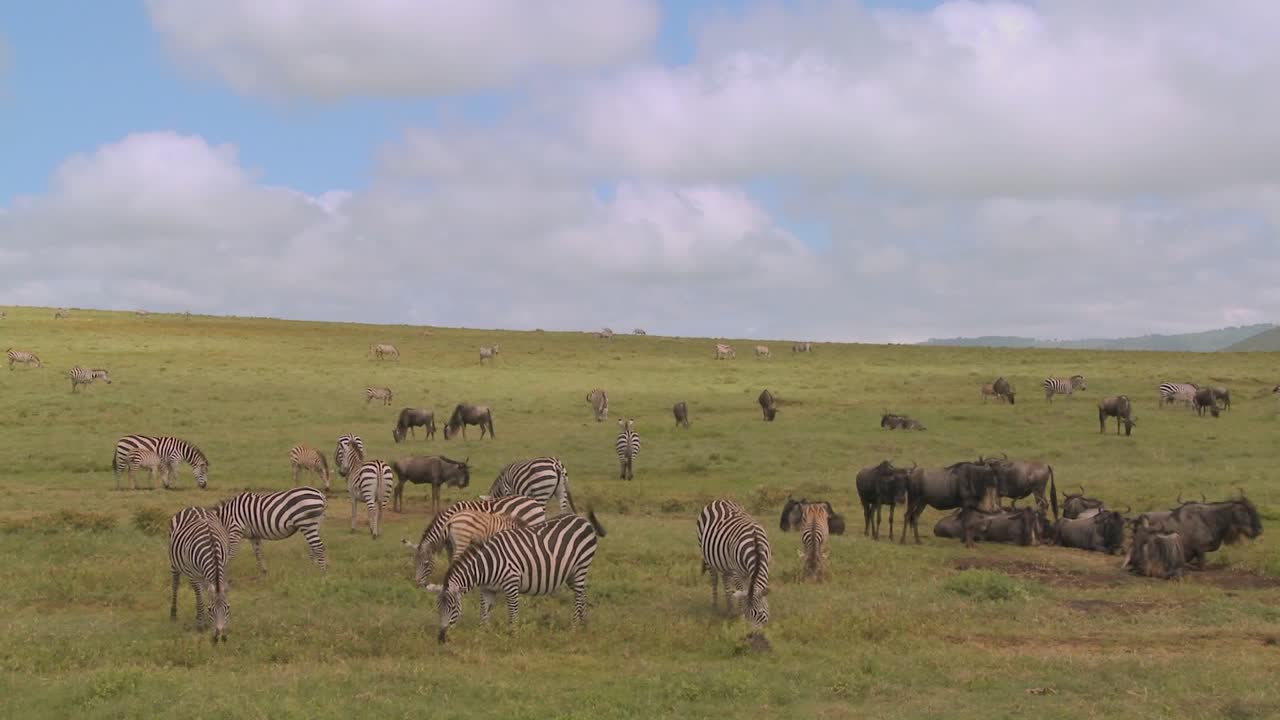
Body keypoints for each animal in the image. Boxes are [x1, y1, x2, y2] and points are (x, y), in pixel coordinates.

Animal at [168, 507, 230, 642]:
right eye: (210, 610)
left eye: (228, 608)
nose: (219, 636)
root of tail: (192, 507)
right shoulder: (194, 575)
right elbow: (200, 598)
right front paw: (201, 625)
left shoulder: (222, 567)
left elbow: (207, 595)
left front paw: (203, 620)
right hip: (175, 563)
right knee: (176, 585)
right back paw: (173, 614)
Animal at [402, 495, 547, 587]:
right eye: (415, 563)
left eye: (426, 564)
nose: (418, 584)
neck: (448, 521)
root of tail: (533, 501)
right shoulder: (449, 543)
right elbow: (450, 559)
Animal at [427, 509, 608, 644]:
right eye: (438, 608)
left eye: (452, 607)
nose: (441, 639)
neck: (487, 565)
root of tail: (583, 520)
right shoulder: (487, 589)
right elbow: (484, 612)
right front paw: (483, 633)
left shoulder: (511, 584)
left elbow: (513, 612)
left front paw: (513, 636)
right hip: (570, 574)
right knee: (583, 594)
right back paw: (584, 624)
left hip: (581, 566)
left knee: (579, 596)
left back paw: (574, 627)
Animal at [697, 500, 771, 630]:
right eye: (747, 615)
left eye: (761, 614)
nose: (755, 634)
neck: (756, 547)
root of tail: (719, 500)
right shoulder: (738, 572)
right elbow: (741, 593)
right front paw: (740, 619)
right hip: (707, 556)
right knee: (714, 580)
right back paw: (715, 607)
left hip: (725, 561)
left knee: (725, 580)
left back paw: (730, 609)